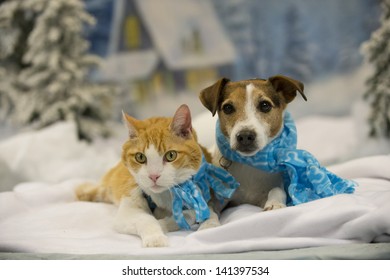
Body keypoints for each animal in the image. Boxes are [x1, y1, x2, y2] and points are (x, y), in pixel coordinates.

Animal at [74, 104, 218, 247]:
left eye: (171, 155)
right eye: (140, 157)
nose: (153, 176)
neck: (164, 195)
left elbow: (208, 213)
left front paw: (207, 226)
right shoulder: (128, 207)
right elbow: (146, 219)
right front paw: (156, 238)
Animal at [200, 75, 306, 211]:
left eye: (265, 105)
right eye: (228, 108)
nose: (245, 136)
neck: (249, 163)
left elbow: (277, 190)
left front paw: (275, 203)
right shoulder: (219, 199)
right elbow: (209, 207)